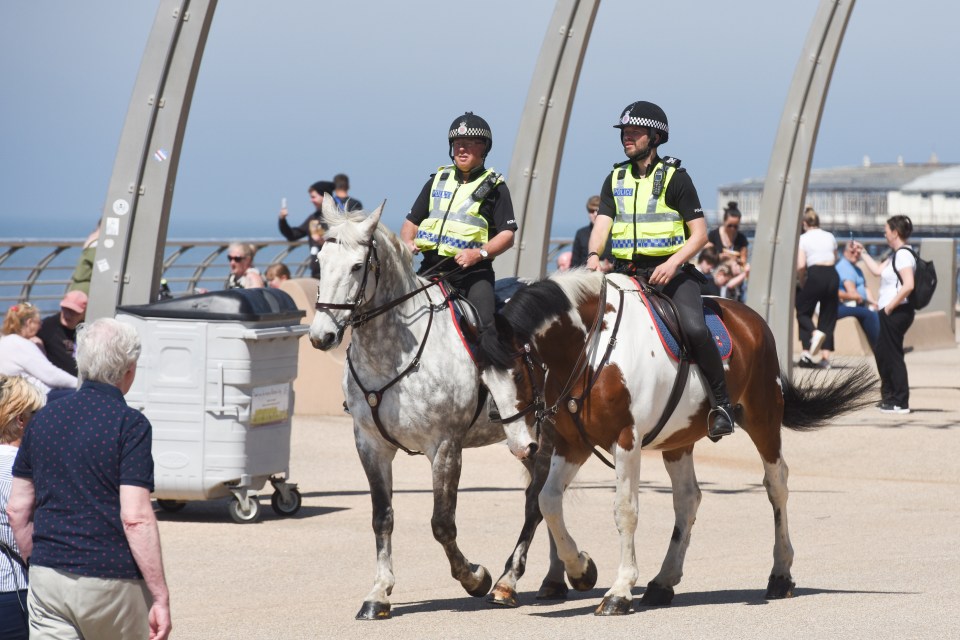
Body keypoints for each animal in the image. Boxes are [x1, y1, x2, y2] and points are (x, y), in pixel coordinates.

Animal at [480, 268, 876, 616]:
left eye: (518, 374)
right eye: (484, 379)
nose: (520, 446)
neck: (591, 347)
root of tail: (750, 318)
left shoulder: (626, 441)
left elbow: (624, 511)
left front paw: (619, 590)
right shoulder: (571, 443)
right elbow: (547, 501)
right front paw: (580, 569)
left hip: (763, 418)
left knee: (776, 485)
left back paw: (780, 574)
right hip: (677, 440)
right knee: (688, 499)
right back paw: (663, 581)